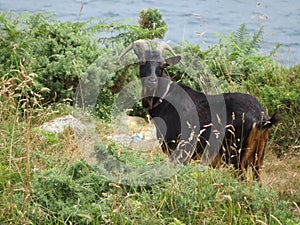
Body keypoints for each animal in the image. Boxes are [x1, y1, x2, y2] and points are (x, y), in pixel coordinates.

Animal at [118, 39, 278, 181]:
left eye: (163, 65)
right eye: (142, 62)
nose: (152, 80)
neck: (164, 98)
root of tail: (261, 118)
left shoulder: (178, 149)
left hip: (237, 155)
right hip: (258, 156)